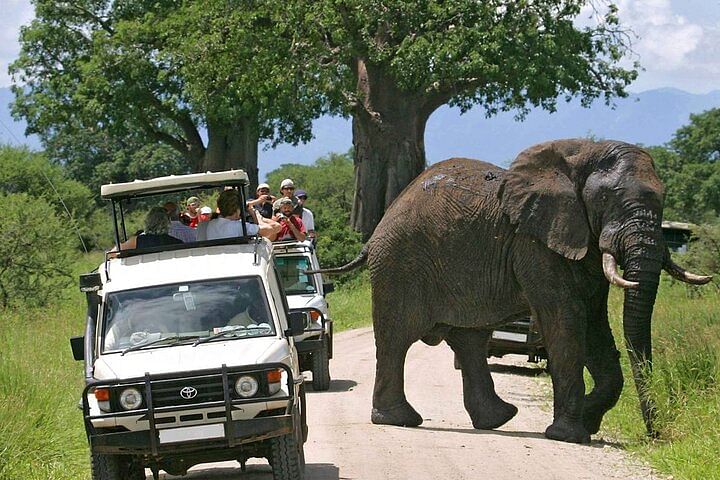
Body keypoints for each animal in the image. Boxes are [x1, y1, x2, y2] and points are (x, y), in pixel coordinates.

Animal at [316, 138, 708, 442]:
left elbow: (595, 324)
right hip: (400, 264)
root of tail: (376, 230)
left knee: (470, 340)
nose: (655, 435)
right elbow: (566, 321)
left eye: (664, 199)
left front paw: (589, 420)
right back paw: (400, 420)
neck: (583, 154)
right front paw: (570, 435)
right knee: (397, 337)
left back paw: (498, 419)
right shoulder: (534, 243)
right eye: (608, 199)